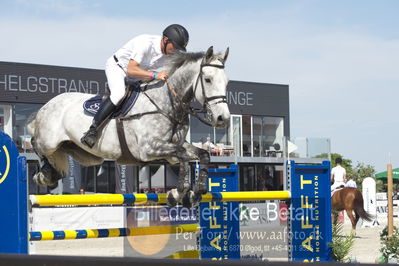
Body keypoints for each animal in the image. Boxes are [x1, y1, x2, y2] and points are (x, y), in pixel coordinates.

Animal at [26, 46, 230, 207]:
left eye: (227, 82)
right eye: (208, 79)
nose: (223, 118)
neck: (166, 104)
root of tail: (46, 105)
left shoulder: (173, 147)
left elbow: (202, 155)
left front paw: (194, 194)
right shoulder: (149, 149)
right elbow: (184, 158)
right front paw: (177, 193)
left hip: (87, 157)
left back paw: (49, 173)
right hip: (49, 141)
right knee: (35, 143)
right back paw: (44, 174)